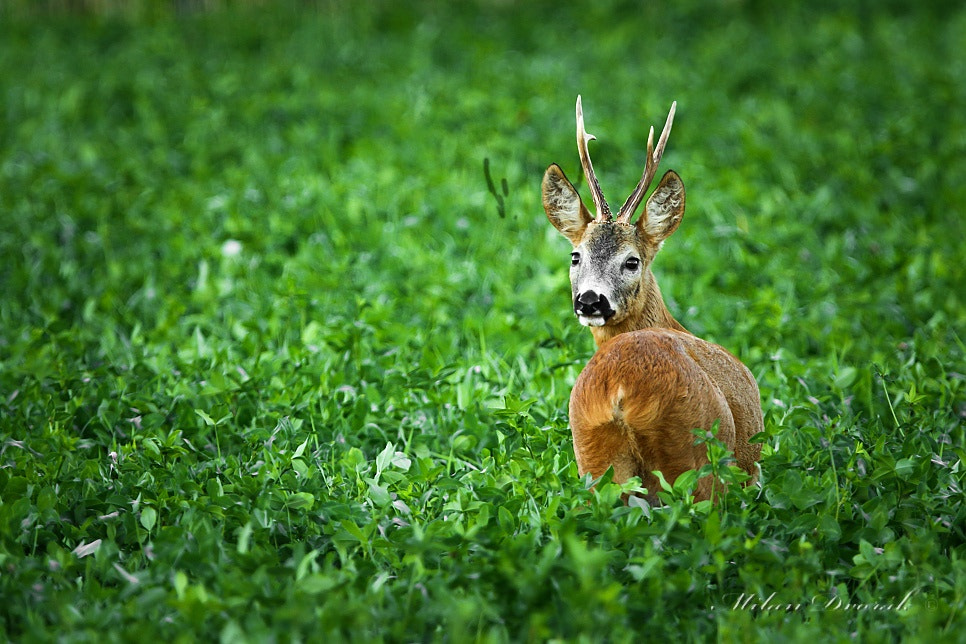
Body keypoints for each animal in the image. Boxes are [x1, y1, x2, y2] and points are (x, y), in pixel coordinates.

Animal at [544, 98, 764, 504]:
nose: (590, 301)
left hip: (593, 456)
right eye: (576, 256)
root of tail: (620, 391)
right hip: (696, 457)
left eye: (632, 261)